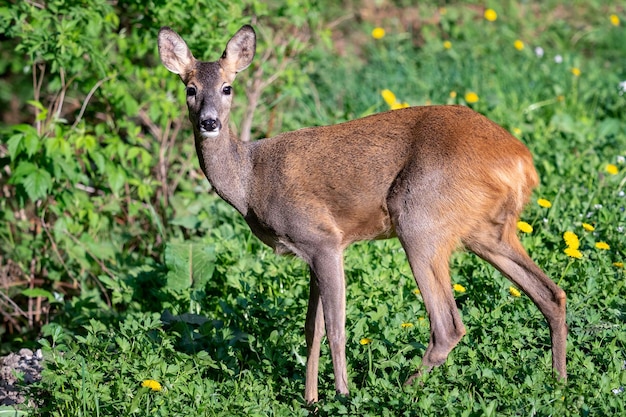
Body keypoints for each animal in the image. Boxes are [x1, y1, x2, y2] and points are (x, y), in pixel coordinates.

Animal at [156, 24, 564, 402]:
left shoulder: (324, 239)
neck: (251, 180)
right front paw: (311, 400)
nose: (209, 122)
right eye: (190, 89)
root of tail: (521, 161)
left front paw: (341, 394)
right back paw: (559, 383)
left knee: (448, 325)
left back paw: (400, 390)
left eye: (227, 88)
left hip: (420, 220)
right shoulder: (310, 250)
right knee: (551, 293)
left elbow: (336, 328)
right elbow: (312, 329)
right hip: (487, 230)